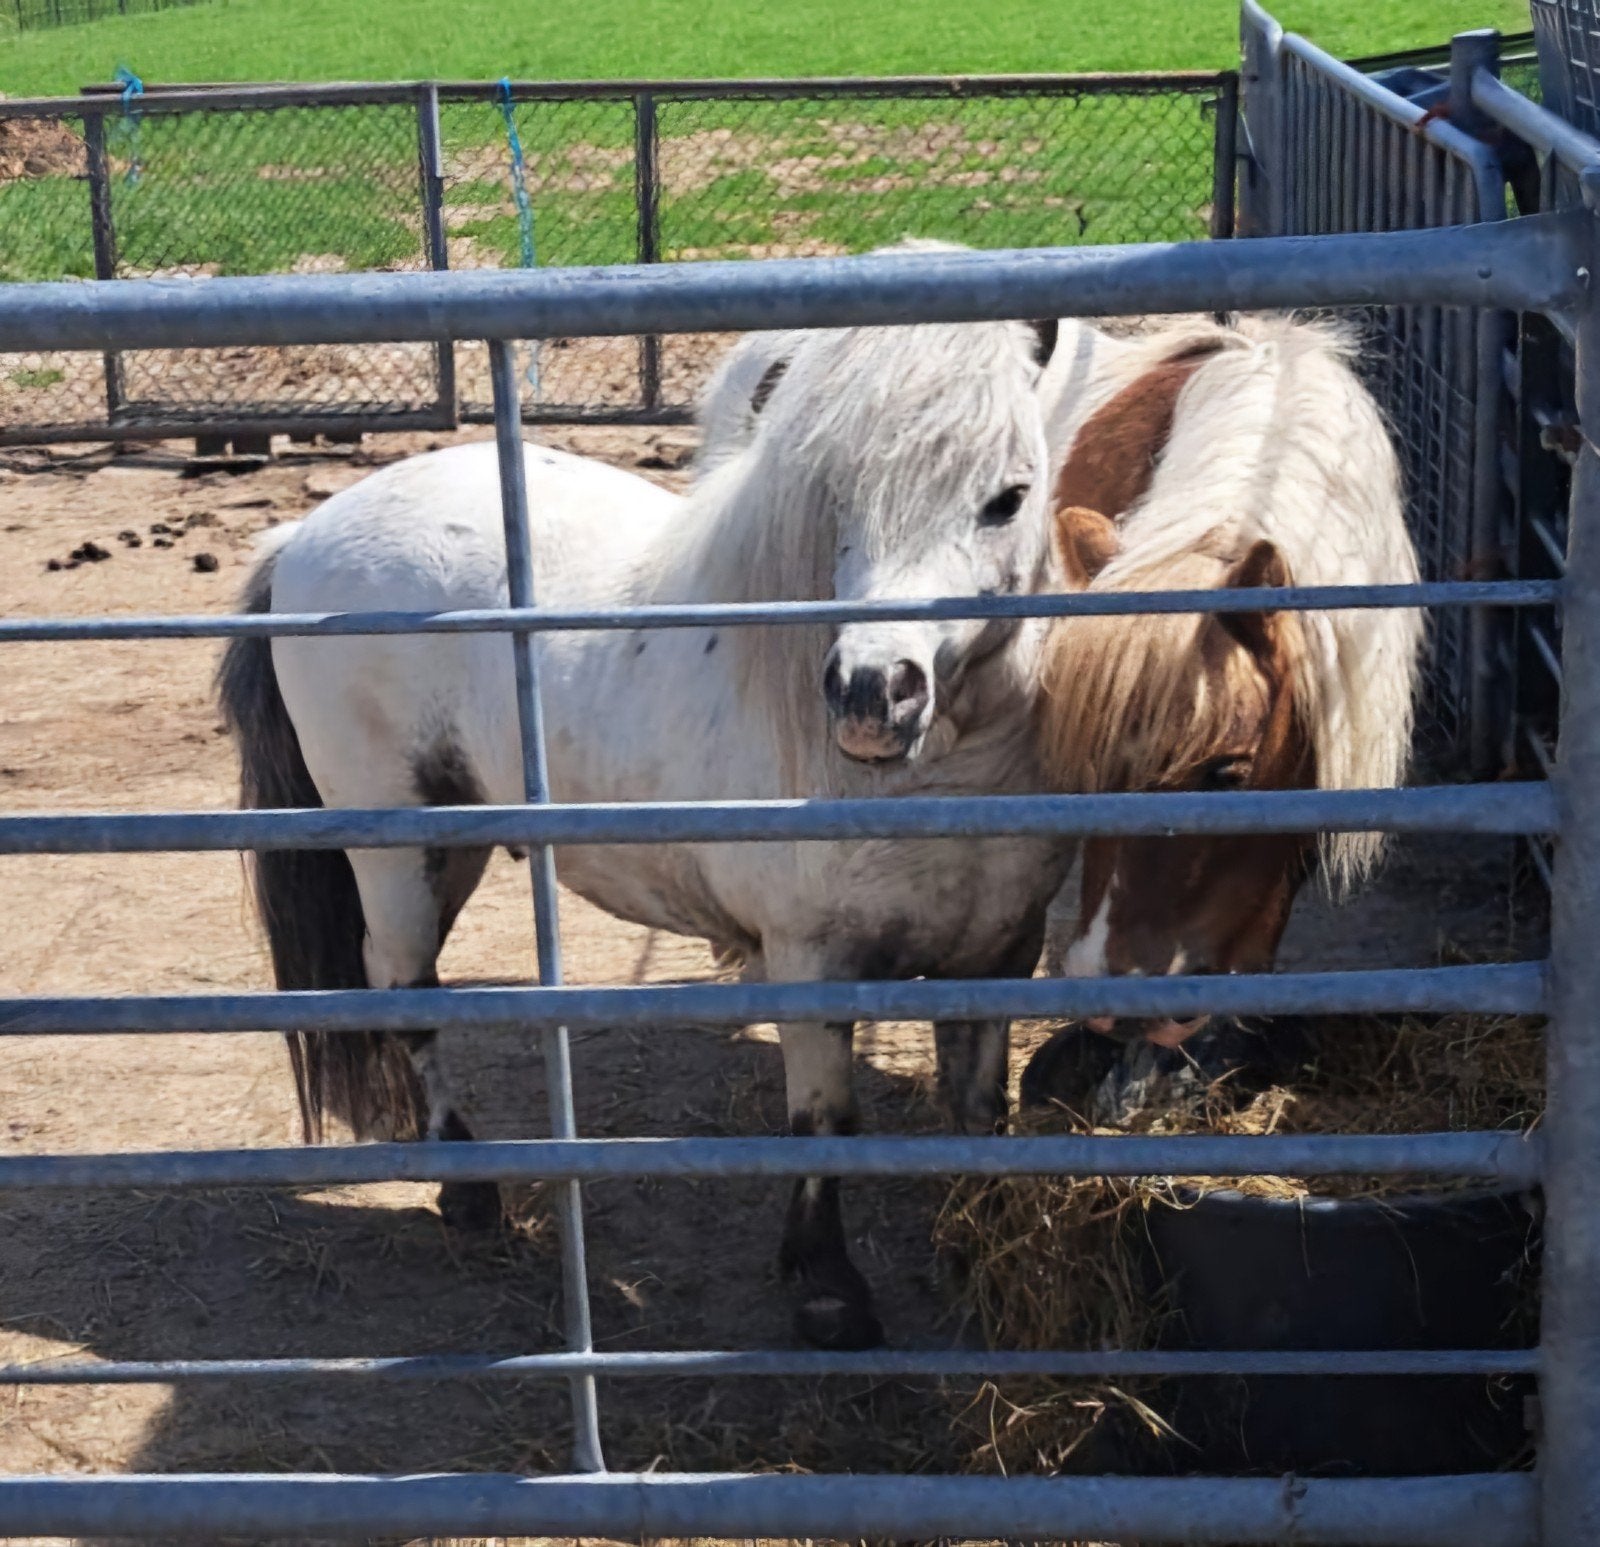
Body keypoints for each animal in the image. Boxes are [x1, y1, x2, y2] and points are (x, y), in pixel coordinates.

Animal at [218, 316, 1073, 1350]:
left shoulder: (999, 951)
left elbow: (981, 1108)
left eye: (1007, 497)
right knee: (406, 991)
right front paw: (827, 1288)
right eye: (836, 493)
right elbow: (826, 1116)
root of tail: (303, 533)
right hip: (395, 849)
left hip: (457, 842)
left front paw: (983, 1243)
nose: (874, 694)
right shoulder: (810, 959)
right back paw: (468, 1188)